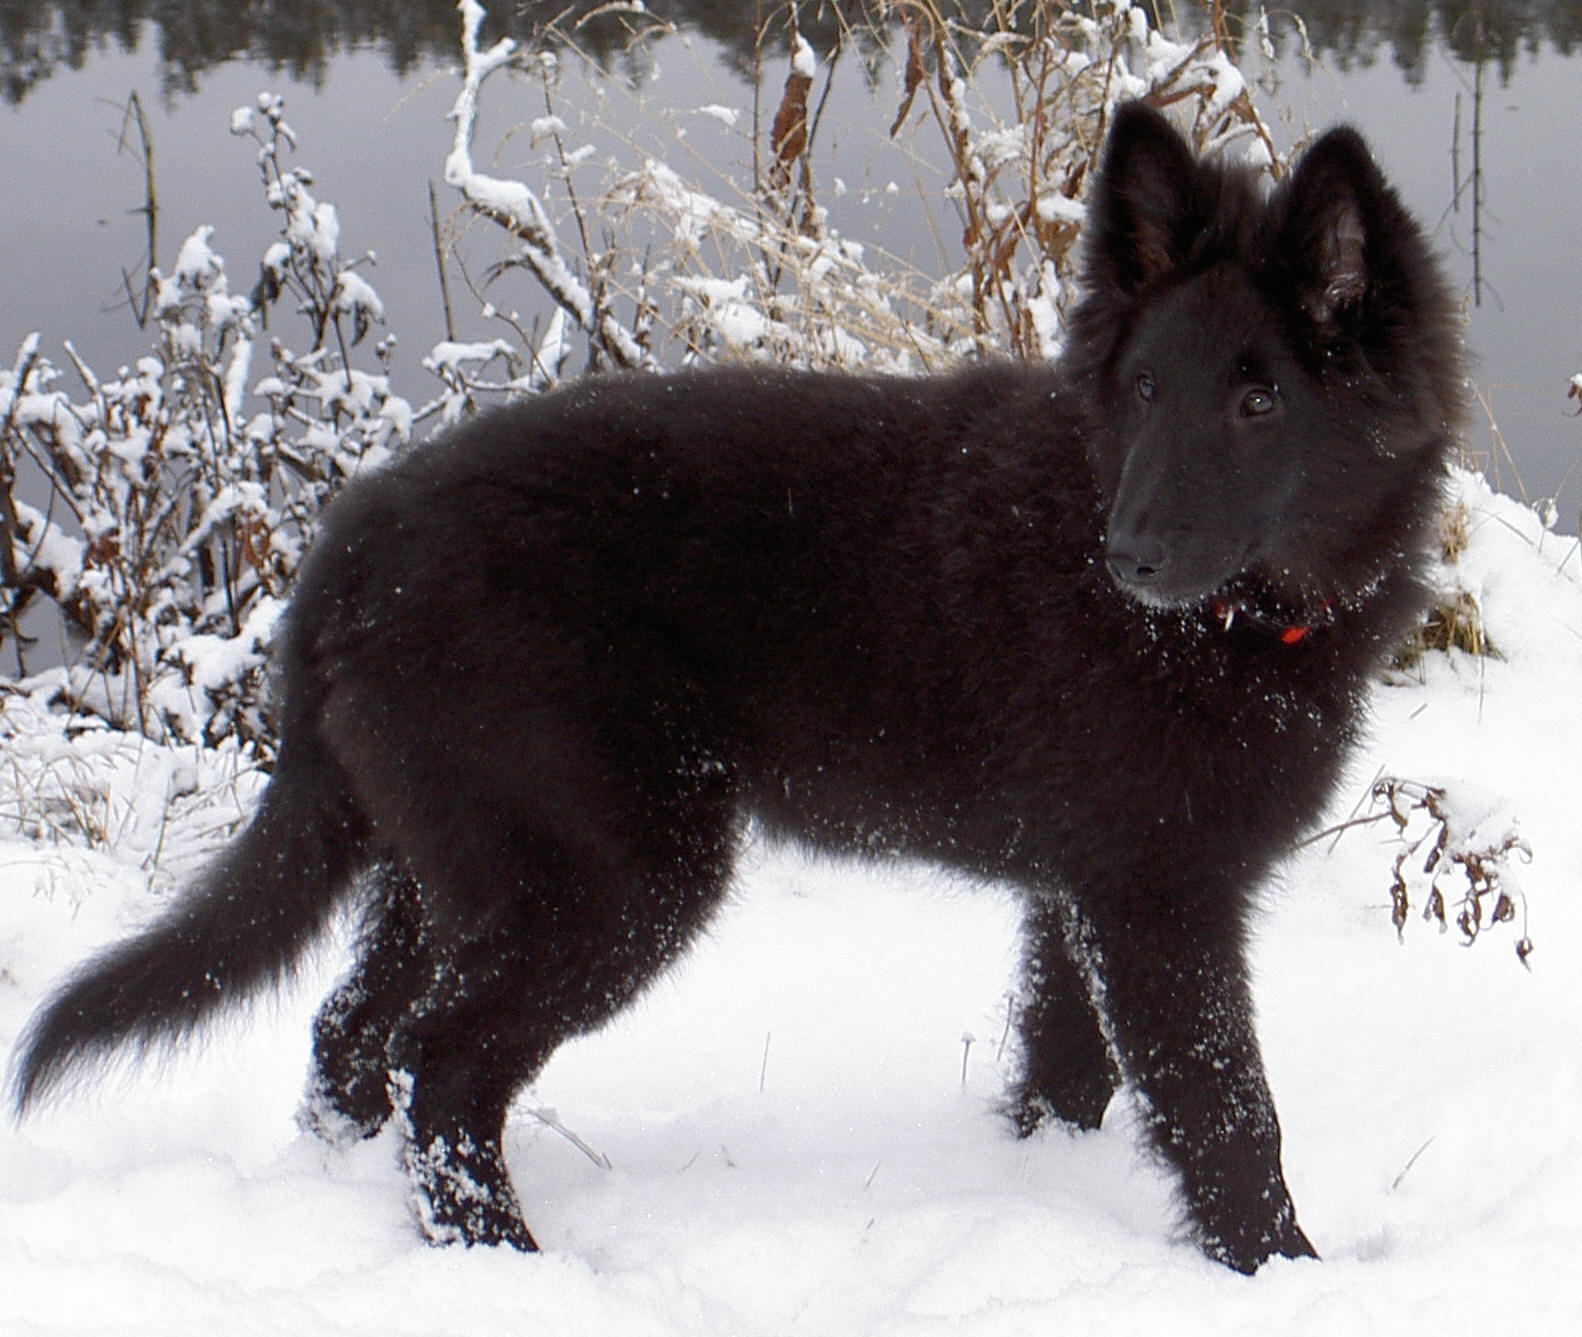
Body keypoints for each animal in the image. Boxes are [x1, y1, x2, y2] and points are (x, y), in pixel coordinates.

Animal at [9, 104, 1455, 1272]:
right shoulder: (1160, 899)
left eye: (1258, 404)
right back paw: (510, 1268)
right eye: (1145, 387)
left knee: (347, 1038)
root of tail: (350, 544)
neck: (1225, 629)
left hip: (442, 859)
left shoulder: (1083, 888)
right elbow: (1227, 1111)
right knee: (439, 1065)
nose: (1128, 558)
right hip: (611, 872)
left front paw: (1040, 1182)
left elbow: (1065, 1065)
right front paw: (1281, 1274)